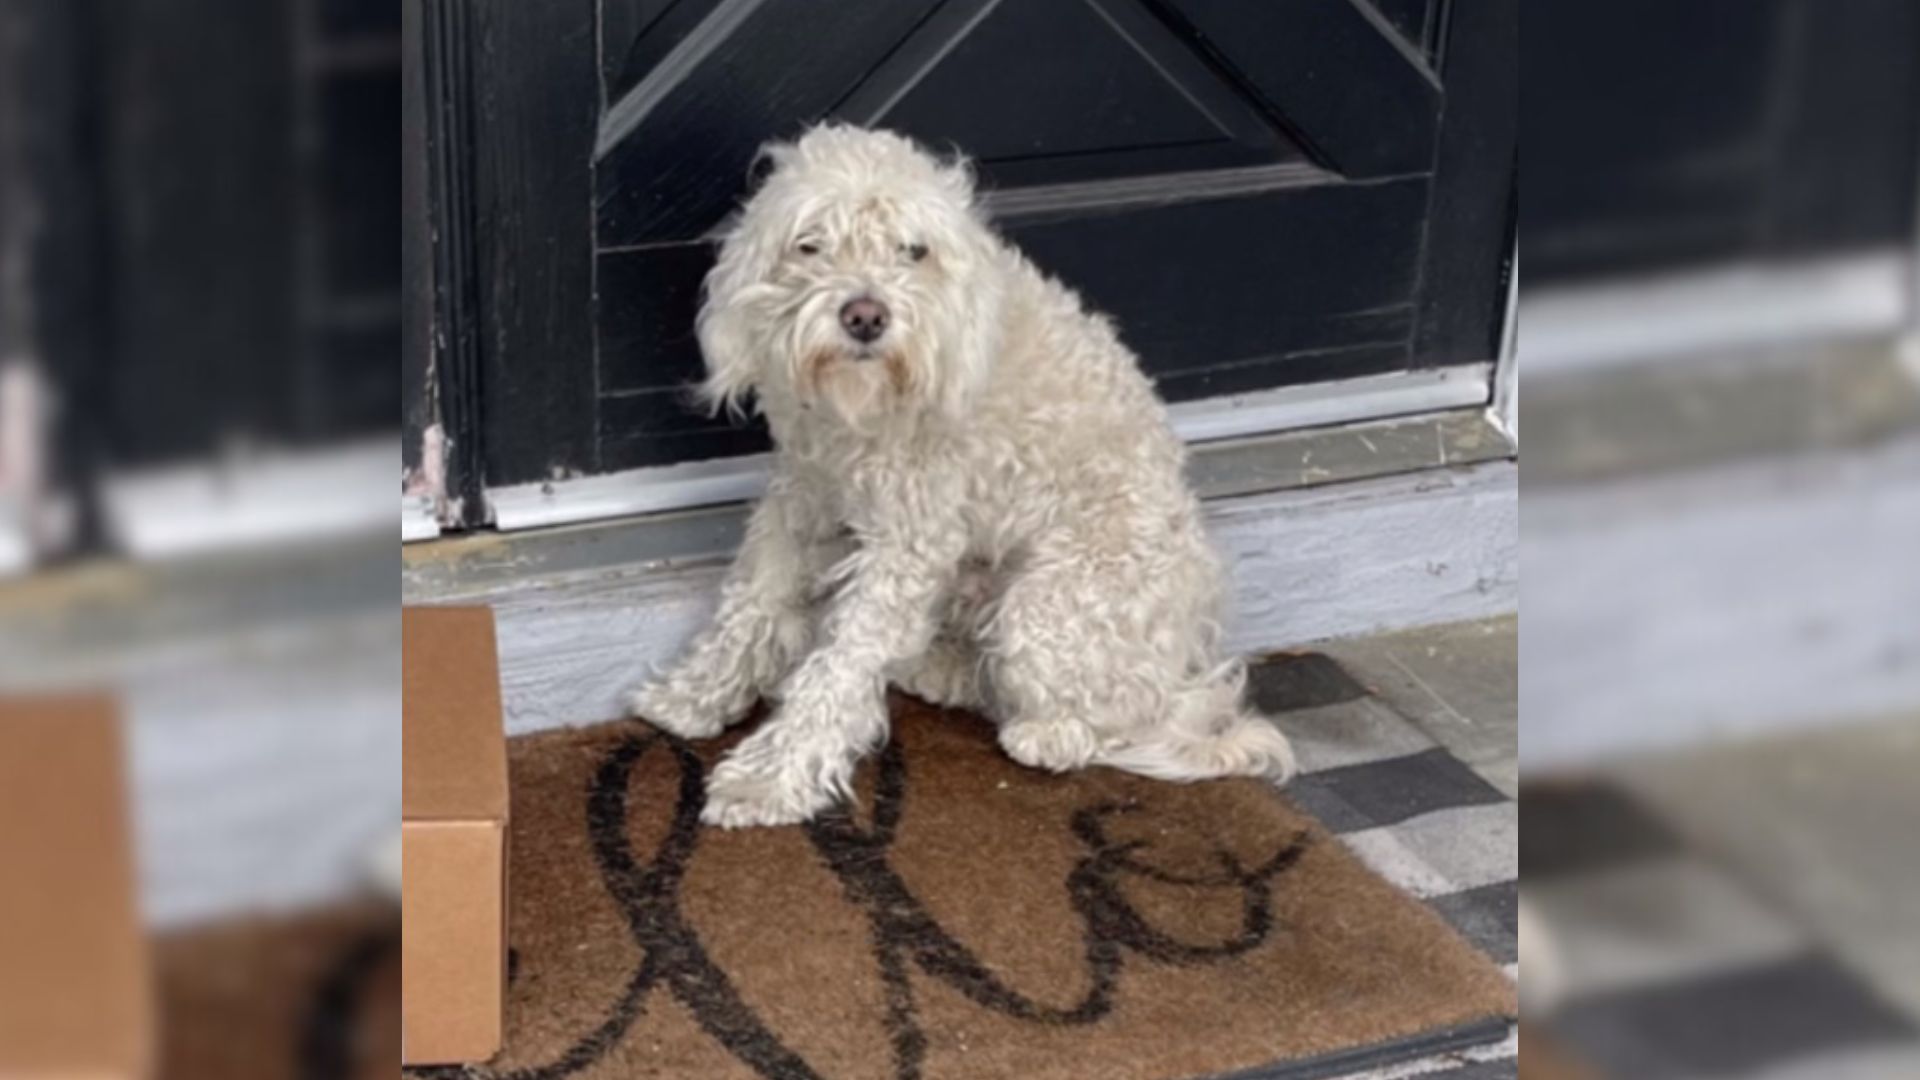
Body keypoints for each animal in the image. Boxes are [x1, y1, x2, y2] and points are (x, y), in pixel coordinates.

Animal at [622, 123, 1297, 822]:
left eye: (913, 250)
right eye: (811, 243)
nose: (865, 315)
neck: (861, 414)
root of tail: (1186, 658)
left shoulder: (908, 544)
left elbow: (840, 664)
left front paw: (770, 777)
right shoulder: (802, 496)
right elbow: (751, 601)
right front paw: (694, 694)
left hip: (1047, 608)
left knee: (1116, 718)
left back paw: (1046, 732)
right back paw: (937, 669)